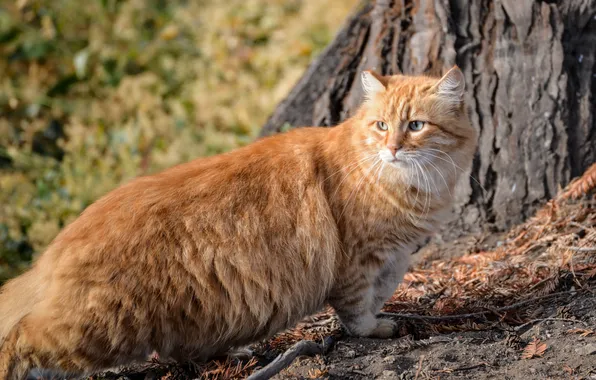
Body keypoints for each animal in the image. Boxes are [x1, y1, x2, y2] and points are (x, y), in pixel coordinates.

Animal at [0, 67, 474, 378]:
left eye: (416, 126)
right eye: (380, 126)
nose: (393, 148)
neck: (409, 185)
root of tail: (55, 248)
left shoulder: (394, 257)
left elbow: (379, 295)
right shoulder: (359, 259)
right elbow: (357, 309)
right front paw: (373, 330)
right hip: (101, 326)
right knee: (21, 338)